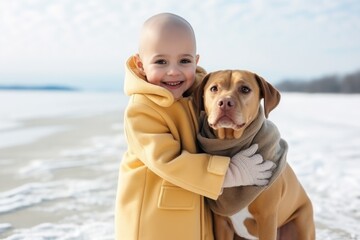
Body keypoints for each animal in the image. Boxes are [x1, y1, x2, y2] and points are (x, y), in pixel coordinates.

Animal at [194, 70, 316, 240]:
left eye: (245, 89)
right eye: (214, 88)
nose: (225, 102)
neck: (232, 143)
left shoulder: (267, 219)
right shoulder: (221, 223)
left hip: (302, 223)